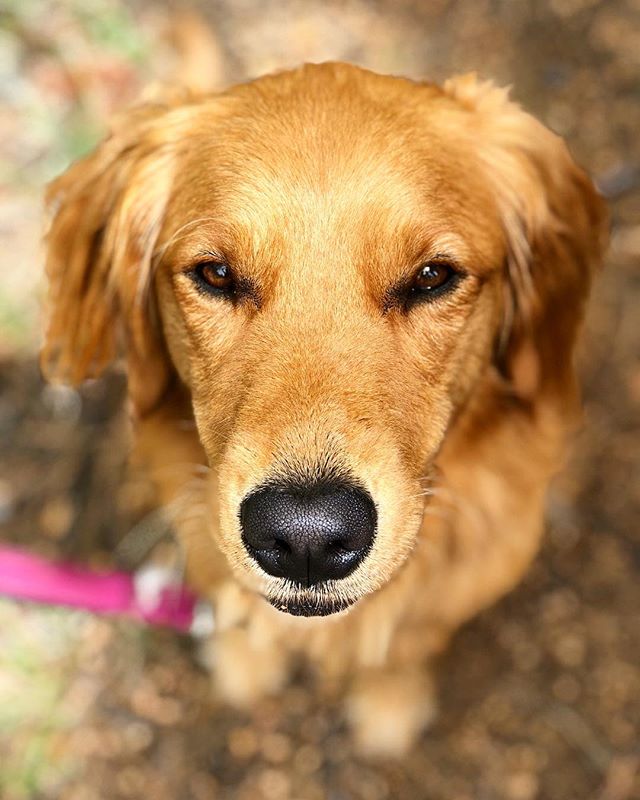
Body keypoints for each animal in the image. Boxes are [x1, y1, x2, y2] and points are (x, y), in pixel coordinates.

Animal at [40, 64, 604, 756]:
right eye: (216, 274)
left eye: (431, 277)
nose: (305, 538)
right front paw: (246, 659)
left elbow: (405, 642)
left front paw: (390, 700)